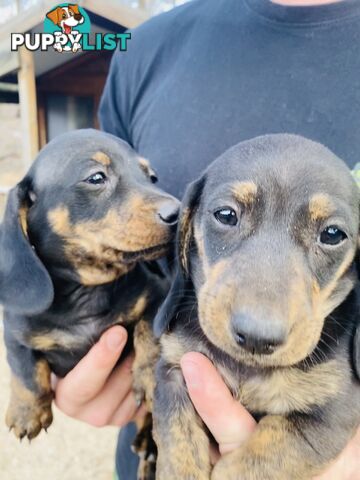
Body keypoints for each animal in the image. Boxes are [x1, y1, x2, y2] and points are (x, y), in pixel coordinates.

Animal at [153, 134, 360, 480]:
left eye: (333, 234)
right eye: (226, 215)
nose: (256, 338)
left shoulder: (332, 412)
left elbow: (257, 458)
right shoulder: (171, 372)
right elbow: (177, 445)